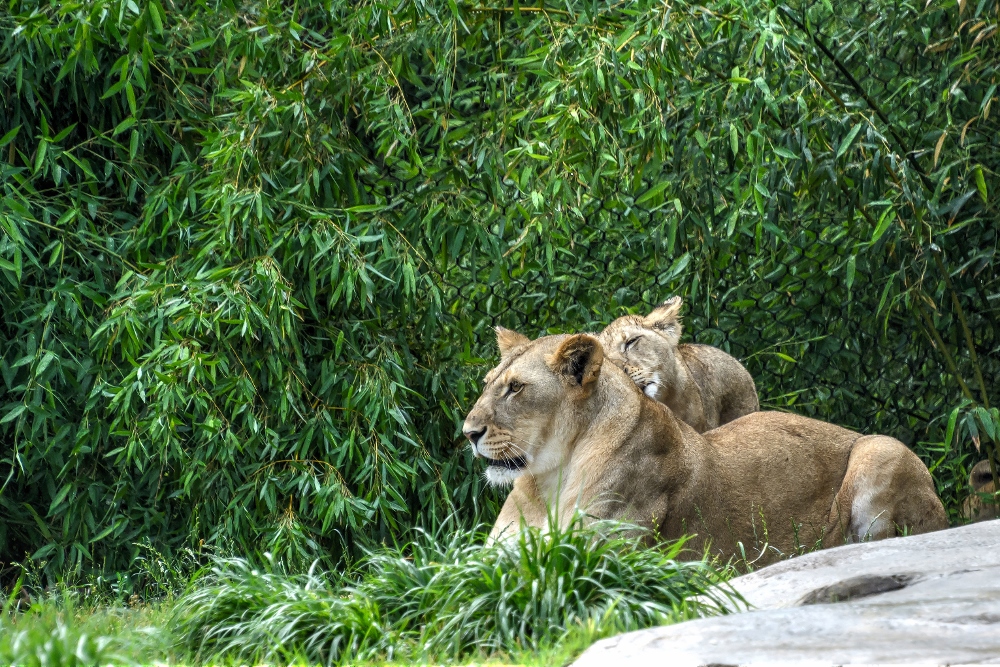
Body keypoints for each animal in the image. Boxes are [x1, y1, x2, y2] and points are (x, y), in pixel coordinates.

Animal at [468, 332, 944, 560]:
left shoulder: (602, 549)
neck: (550, 477)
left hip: (882, 448)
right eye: (488, 383)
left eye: (515, 388)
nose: (468, 433)